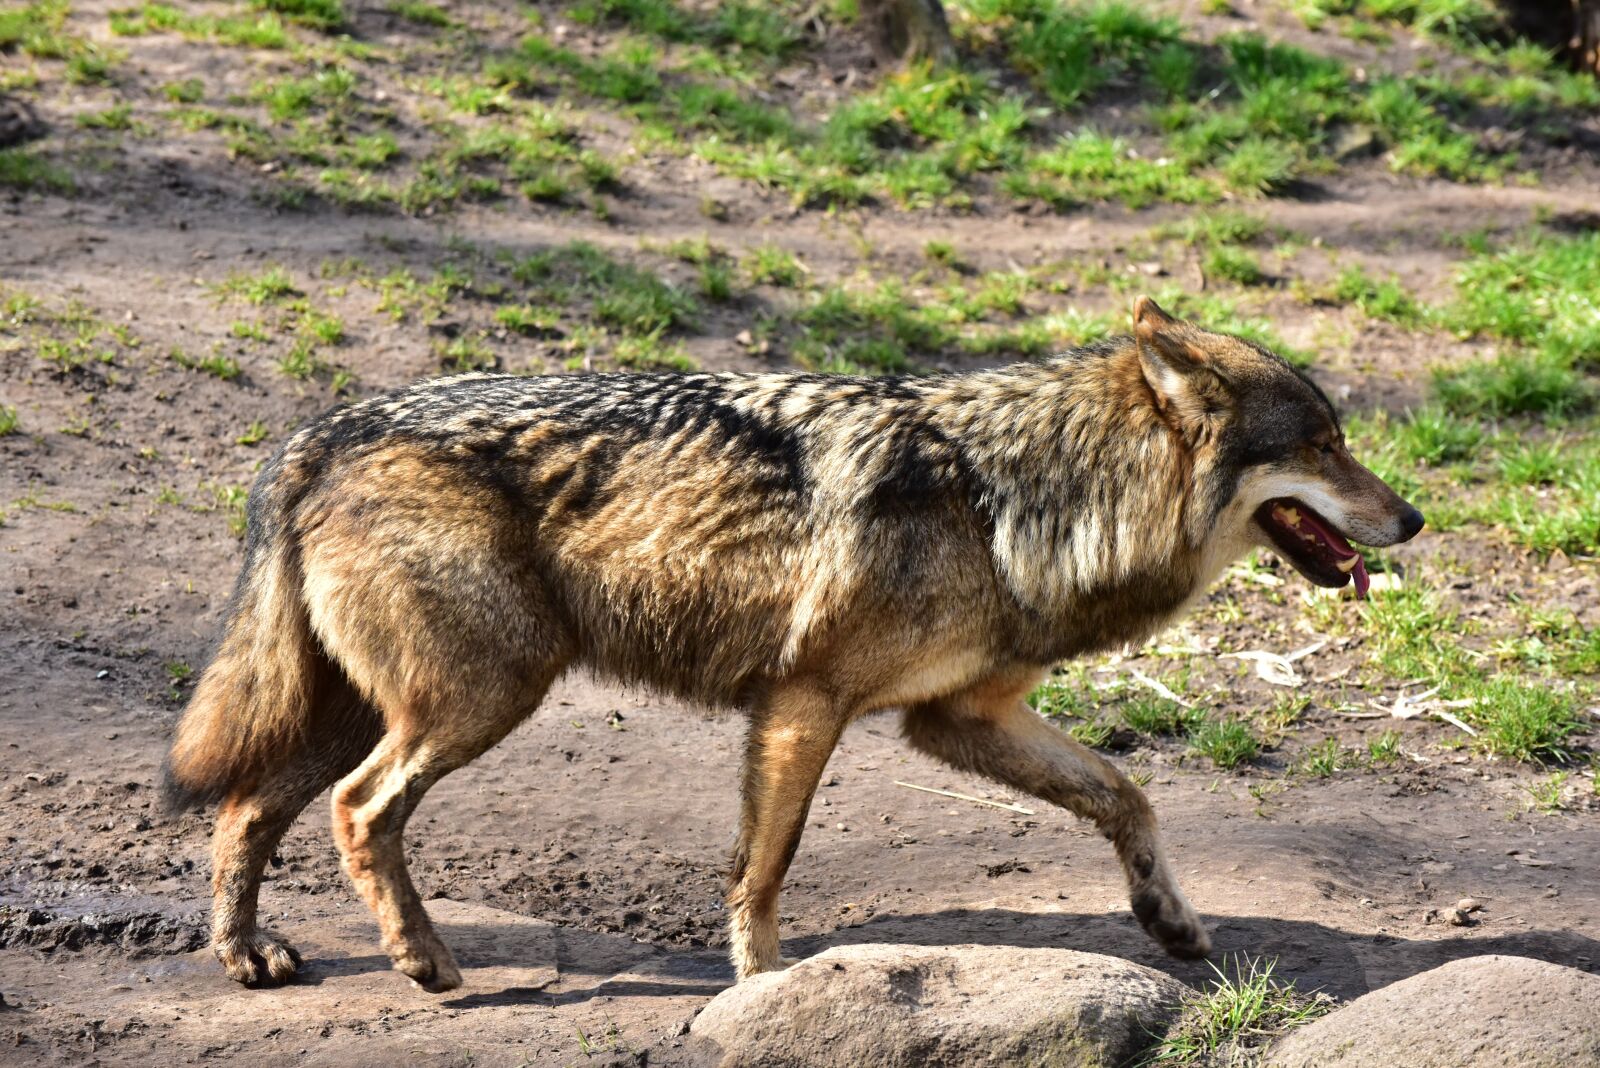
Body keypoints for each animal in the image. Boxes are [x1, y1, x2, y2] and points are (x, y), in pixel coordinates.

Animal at [164, 296, 1423, 992]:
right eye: (1322, 444)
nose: (1413, 519)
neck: (1014, 494)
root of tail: (328, 424)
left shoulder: (959, 718)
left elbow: (1125, 796)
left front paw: (1170, 920)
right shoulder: (802, 705)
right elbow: (761, 868)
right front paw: (762, 984)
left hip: (361, 709)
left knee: (246, 808)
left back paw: (248, 957)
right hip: (478, 700)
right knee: (356, 812)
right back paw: (421, 964)